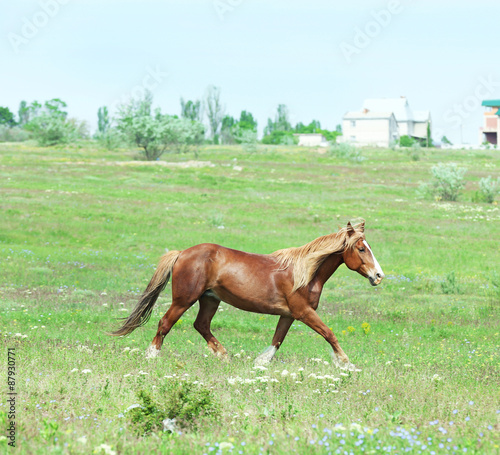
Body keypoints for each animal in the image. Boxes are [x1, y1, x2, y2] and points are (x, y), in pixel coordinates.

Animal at [112, 221, 382, 370]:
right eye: (361, 248)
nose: (379, 275)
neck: (305, 273)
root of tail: (181, 253)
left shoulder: (289, 314)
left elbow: (277, 339)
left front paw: (260, 363)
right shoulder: (304, 312)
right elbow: (329, 333)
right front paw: (347, 363)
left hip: (210, 299)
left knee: (201, 325)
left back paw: (224, 356)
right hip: (184, 299)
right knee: (165, 323)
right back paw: (152, 356)